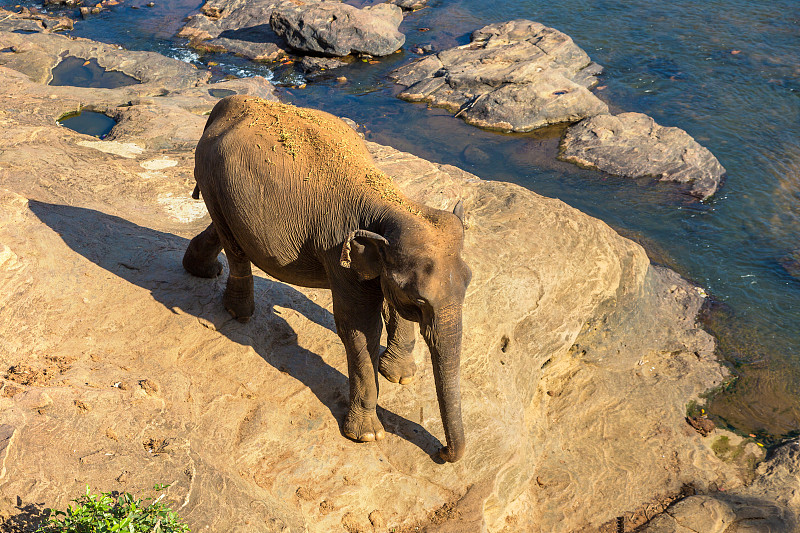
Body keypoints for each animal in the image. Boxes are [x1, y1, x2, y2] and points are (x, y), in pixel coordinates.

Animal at [183, 96, 468, 462]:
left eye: (468, 285)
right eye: (420, 301)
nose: (441, 453)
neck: (394, 203)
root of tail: (227, 104)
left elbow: (387, 306)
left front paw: (400, 377)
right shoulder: (339, 255)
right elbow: (358, 327)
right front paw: (367, 436)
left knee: (224, 231)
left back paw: (198, 269)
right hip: (212, 177)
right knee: (234, 246)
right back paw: (239, 312)